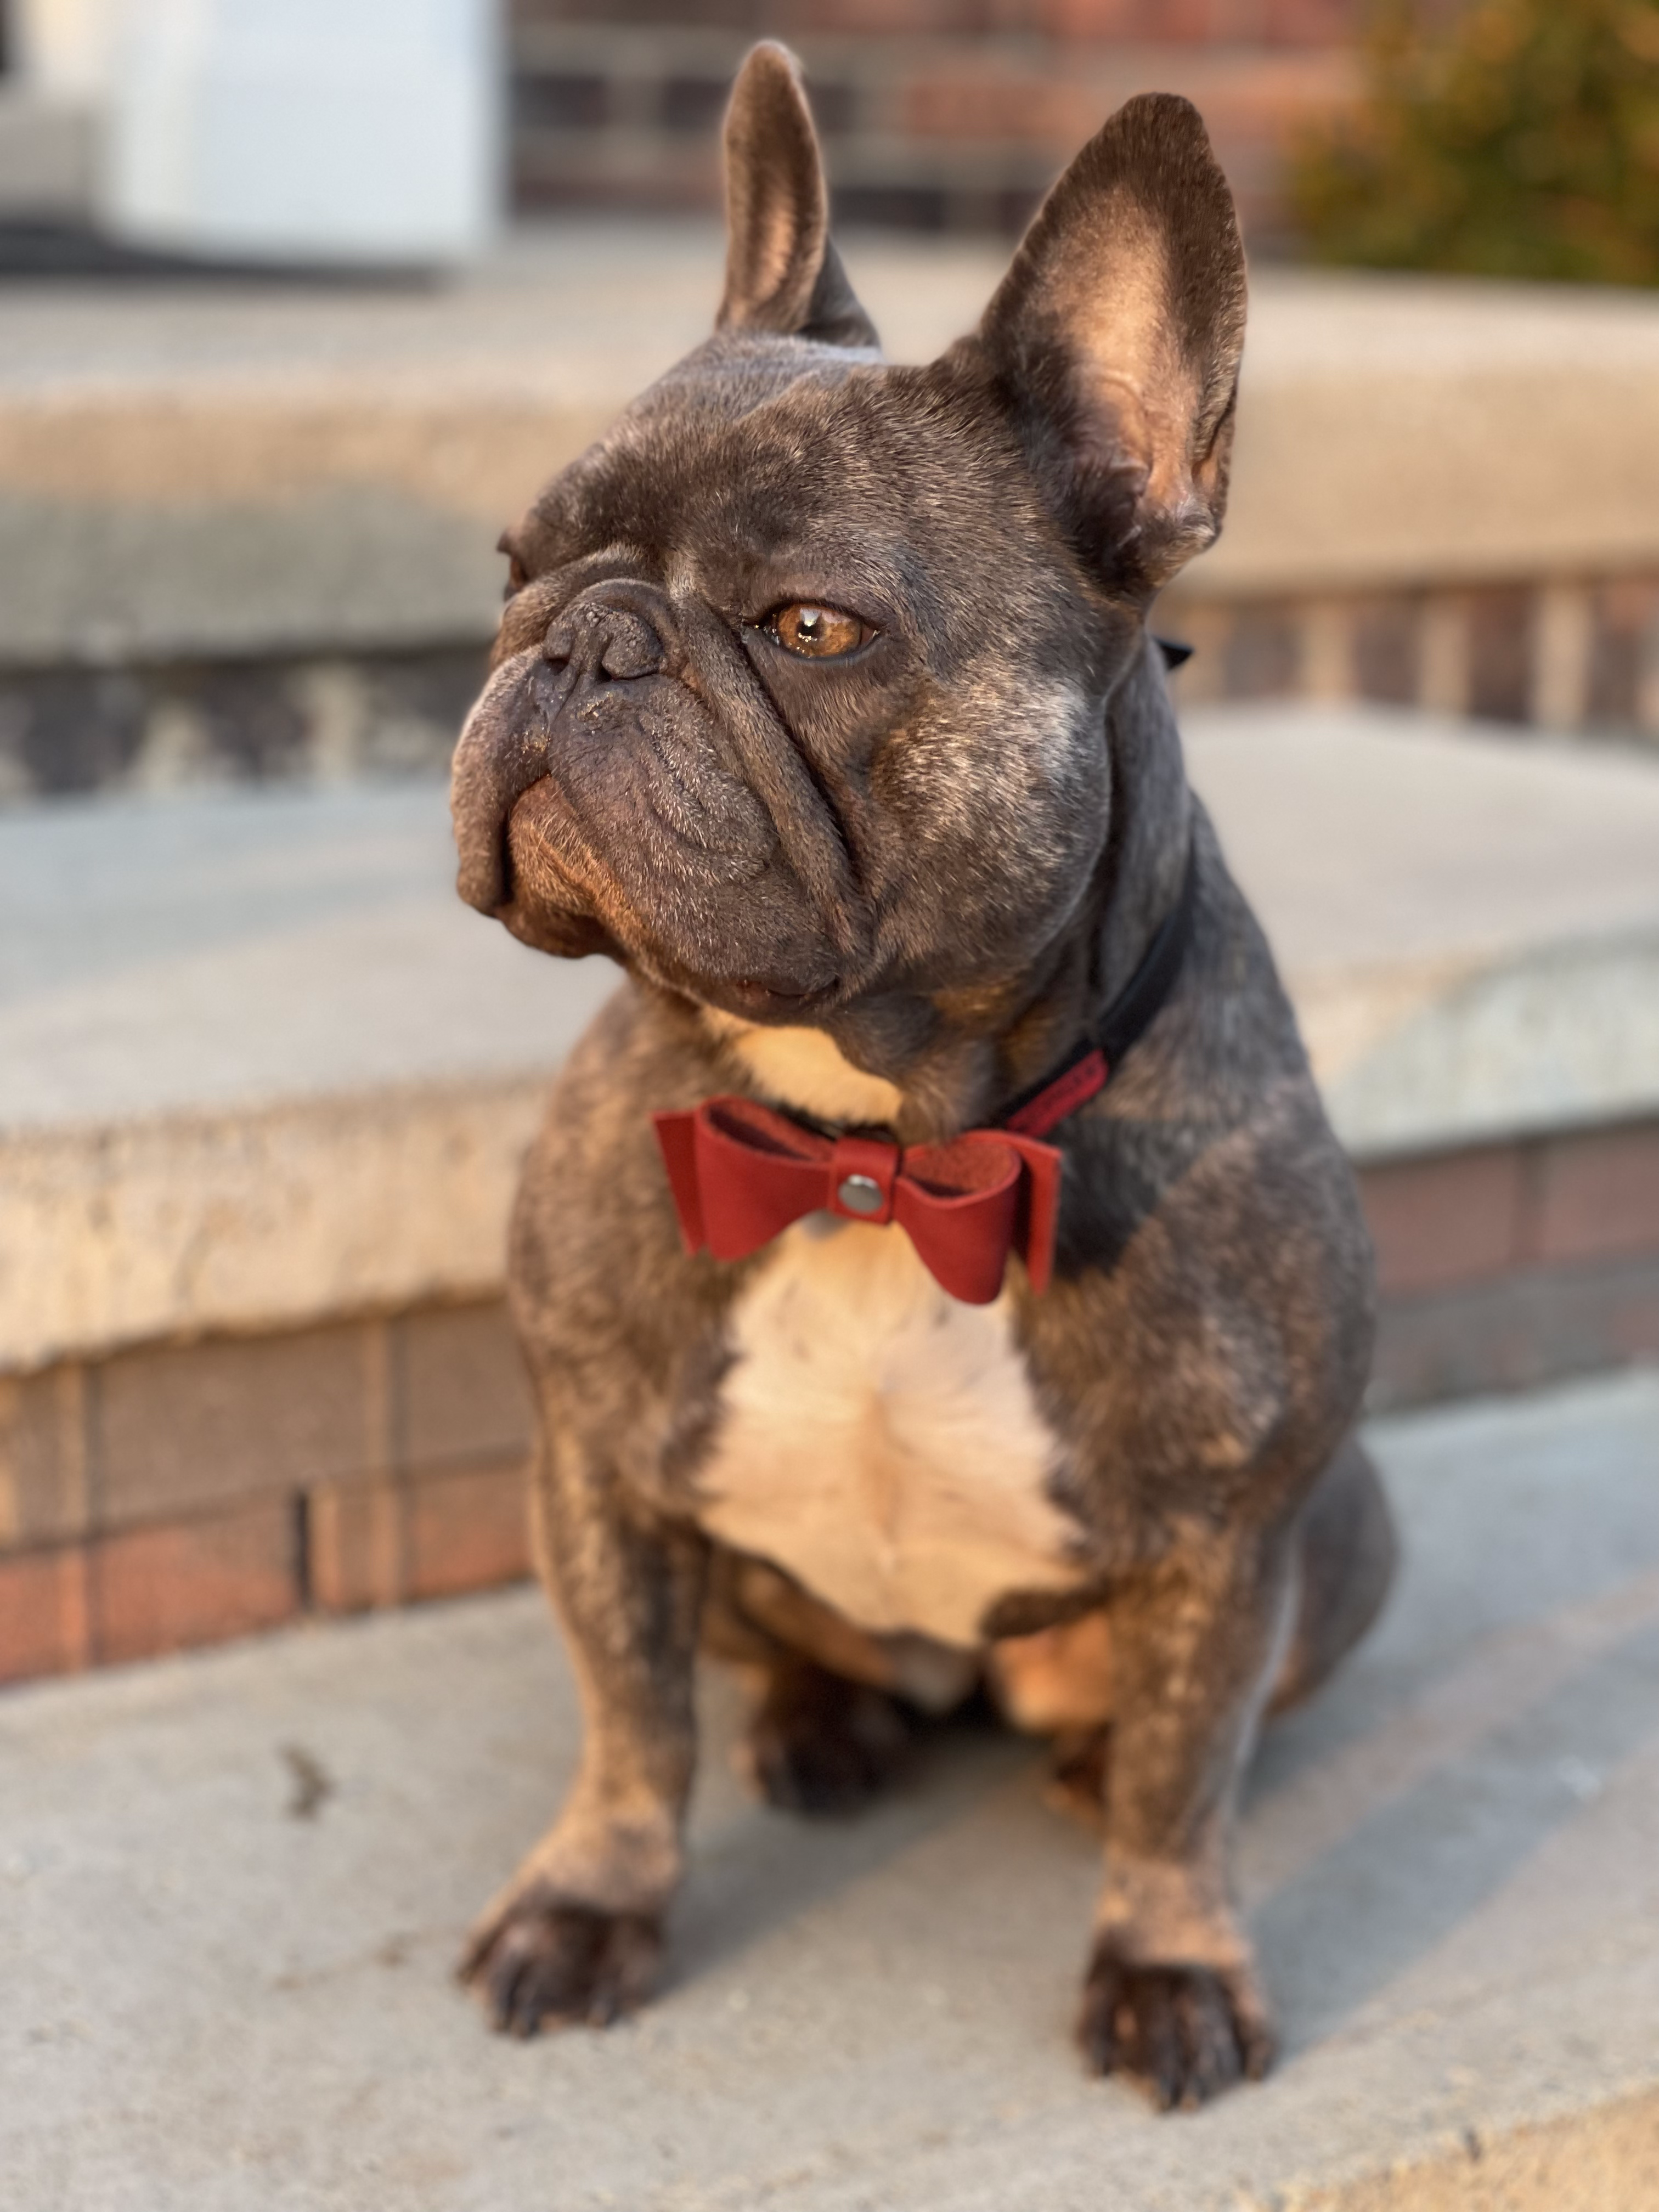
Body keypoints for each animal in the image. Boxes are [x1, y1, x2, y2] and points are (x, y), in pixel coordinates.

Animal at [449, 39, 1398, 2106]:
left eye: (812, 628)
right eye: (514, 570)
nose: (581, 639)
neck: (876, 1145)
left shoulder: (1229, 1531)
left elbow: (1189, 1778)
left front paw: (1169, 1958)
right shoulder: (596, 1467)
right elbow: (629, 1721)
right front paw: (591, 1899)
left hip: (1347, 1532)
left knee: (1157, 1729)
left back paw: (1064, 1757)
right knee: (787, 1660)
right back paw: (822, 1724)